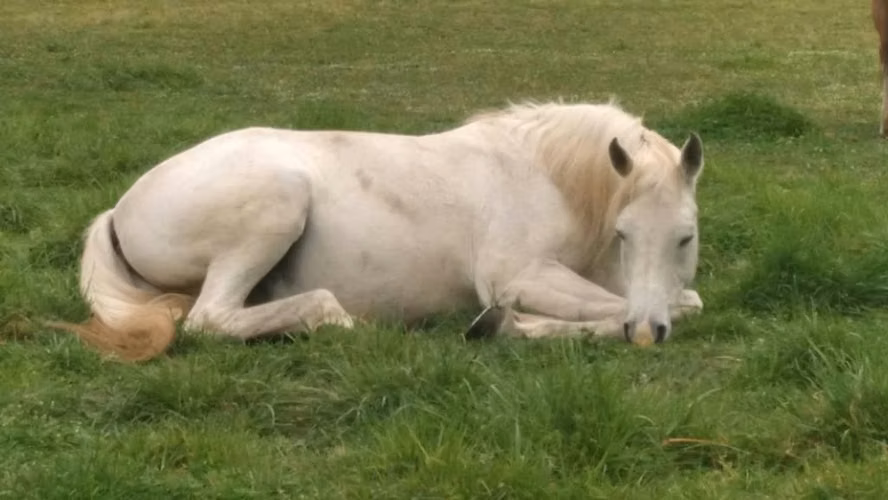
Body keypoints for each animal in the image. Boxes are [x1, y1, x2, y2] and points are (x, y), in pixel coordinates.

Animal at [49, 100, 706, 362]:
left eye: (685, 237)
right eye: (625, 233)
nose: (647, 336)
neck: (546, 176)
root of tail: (119, 211)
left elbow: (683, 301)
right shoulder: (519, 276)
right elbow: (610, 309)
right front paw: (507, 326)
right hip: (276, 206)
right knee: (212, 320)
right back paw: (342, 323)